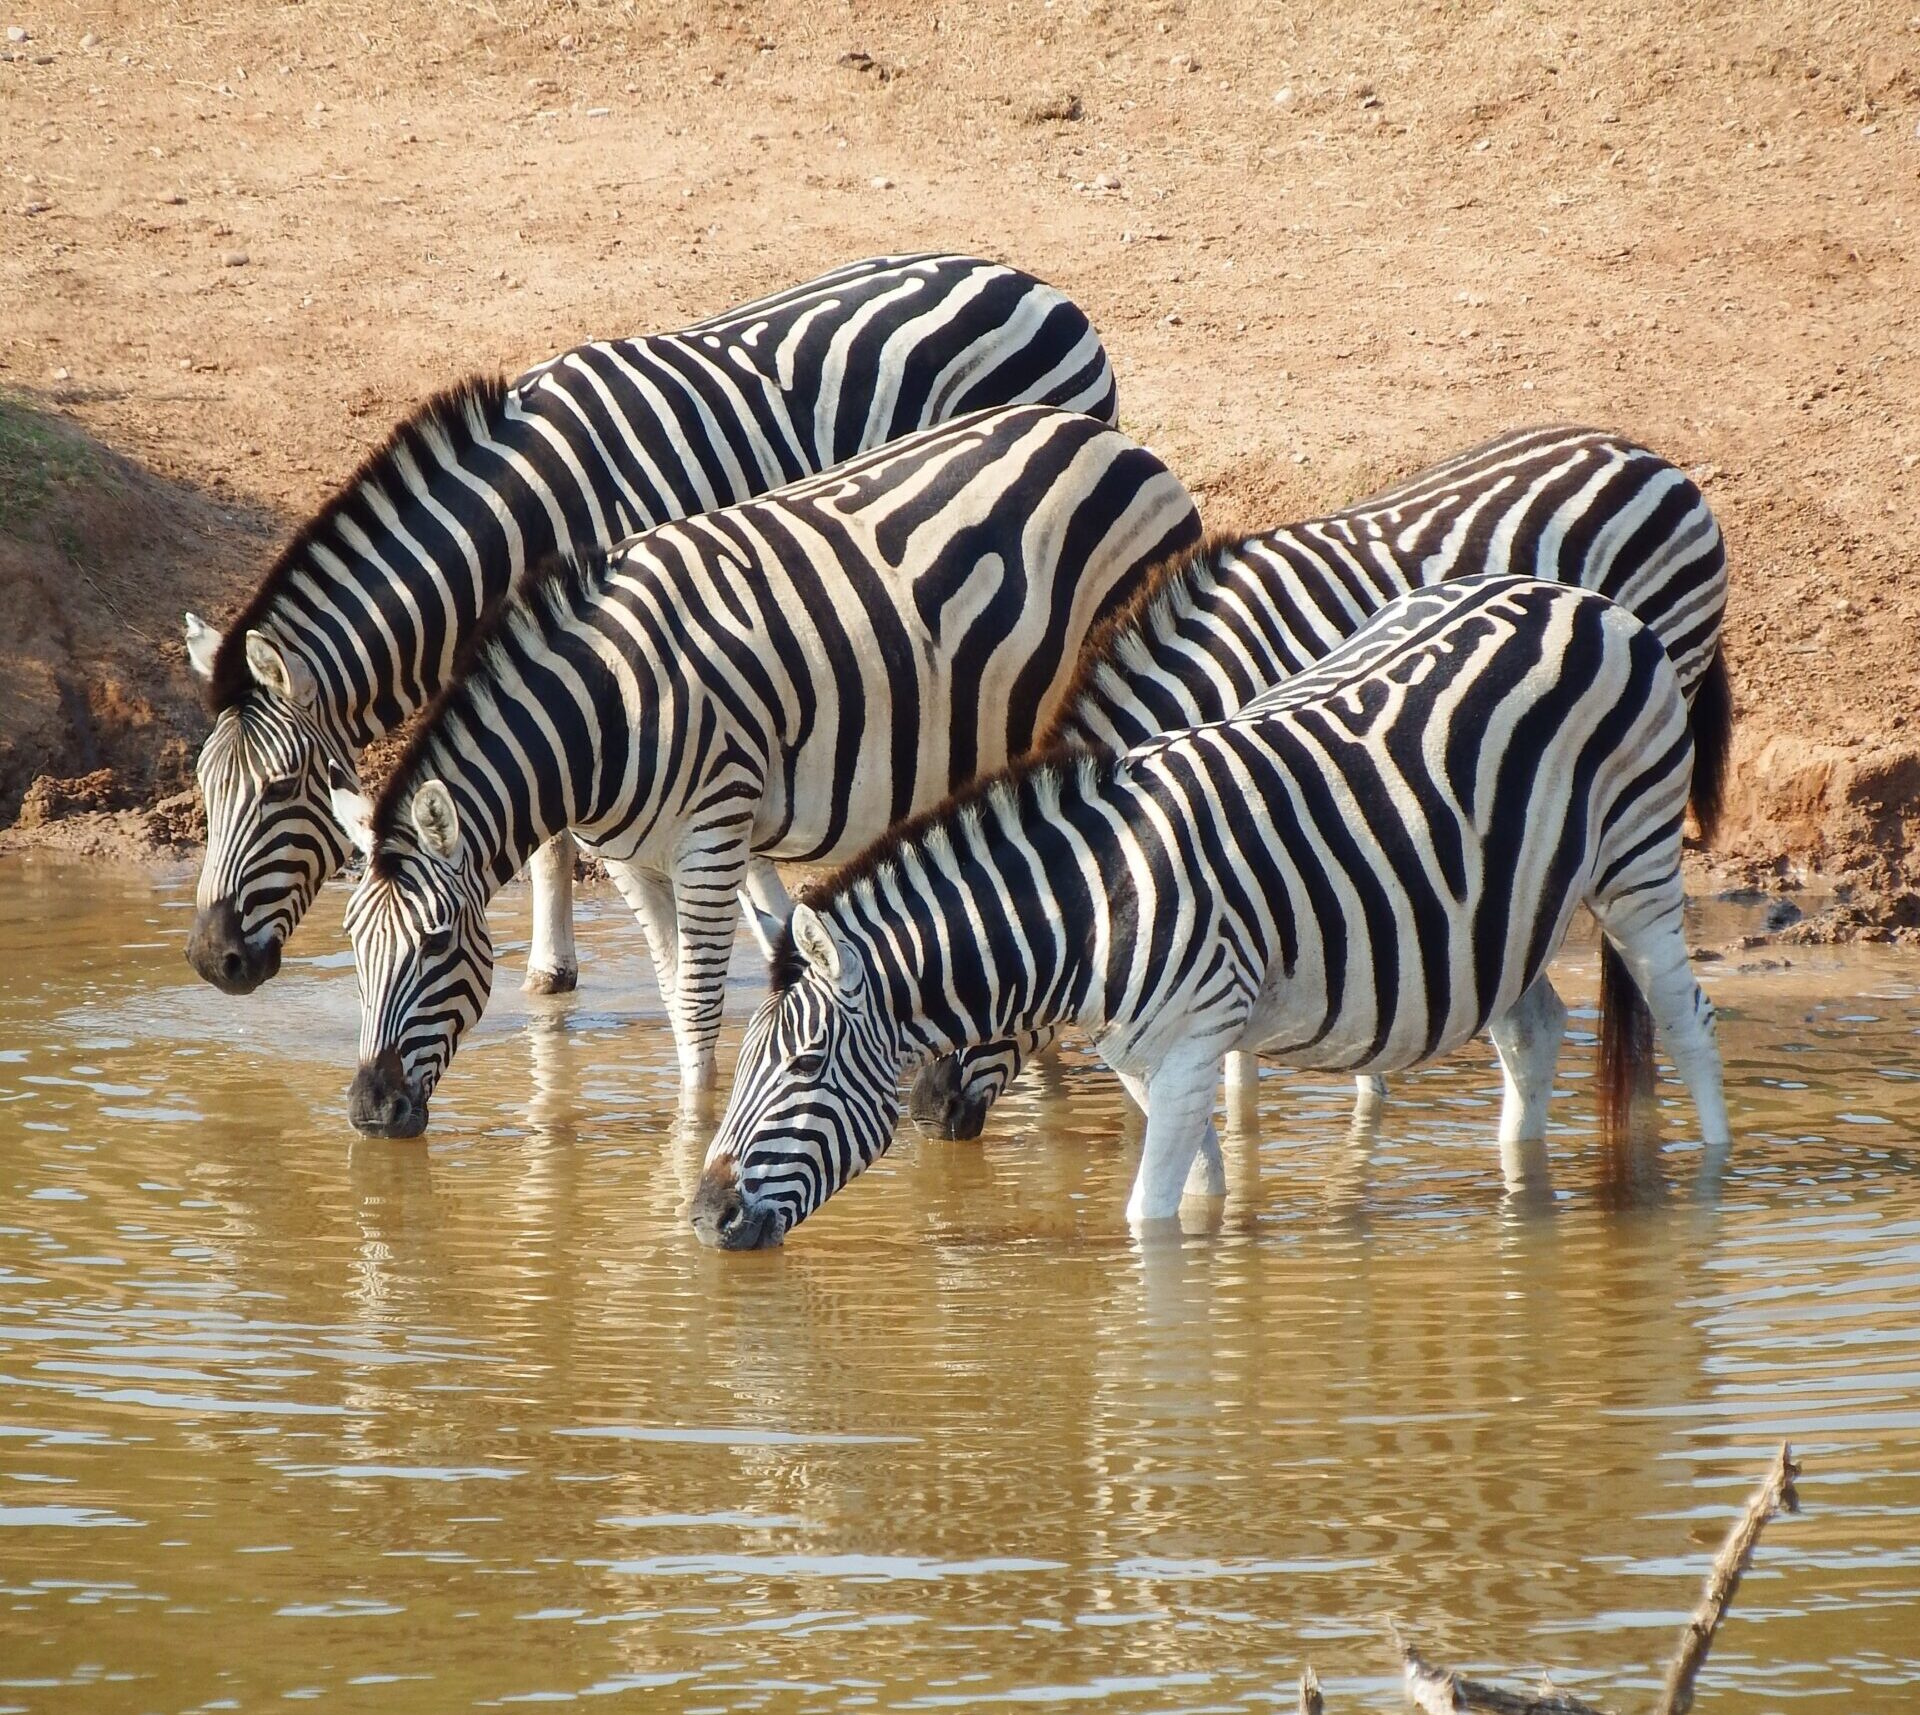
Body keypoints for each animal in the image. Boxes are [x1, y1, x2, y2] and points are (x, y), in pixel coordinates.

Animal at [176, 257, 1121, 1006]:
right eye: (204, 788)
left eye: (281, 789)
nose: (212, 962)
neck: (516, 521)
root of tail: (1041, 287)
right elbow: (563, 828)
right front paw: (560, 968)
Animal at [326, 401, 1198, 1136]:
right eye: (353, 945)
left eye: (437, 944)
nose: (370, 1109)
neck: (603, 711)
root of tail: (1115, 441)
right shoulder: (633, 860)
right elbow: (674, 995)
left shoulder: (712, 834)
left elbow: (700, 1006)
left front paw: (692, 1137)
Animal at [695, 576, 1743, 1244]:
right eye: (742, 1064)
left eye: (801, 1065)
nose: (705, 1217)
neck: (1094, 903)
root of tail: (1585, 599)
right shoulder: (1146, 1061)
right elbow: (1195, 1195)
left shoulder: (1198, 1039)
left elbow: (1147, 1218)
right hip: (1500, 911)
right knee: (1534, 1031)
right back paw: (1519, 1188)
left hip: (1636, 860)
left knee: (1687, 1019)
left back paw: (1713, 1181)